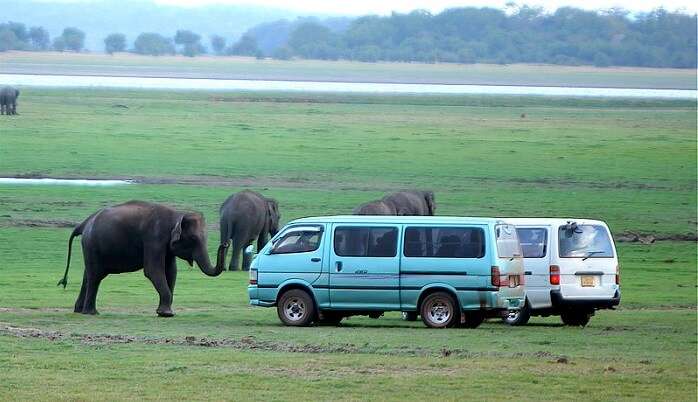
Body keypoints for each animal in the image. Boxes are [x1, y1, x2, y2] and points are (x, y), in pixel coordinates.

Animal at [57, 201, 226, 318]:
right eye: (193, 239)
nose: (225, 244)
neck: (176, 215)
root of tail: (84, 223)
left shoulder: (165, 245)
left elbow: (171, 272)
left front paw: (164, 312)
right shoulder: (154, 238)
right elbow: (153, 271)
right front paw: (166, 314)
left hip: (91, 247)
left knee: (88, 275)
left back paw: (79, 311)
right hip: (92, 245)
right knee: (95, 276)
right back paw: (91, 313)